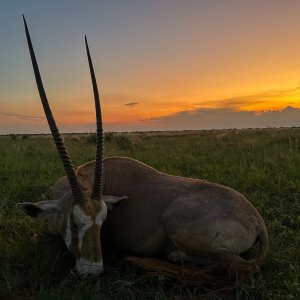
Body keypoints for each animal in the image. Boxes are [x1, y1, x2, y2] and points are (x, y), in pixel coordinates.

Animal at [17, 16, 268, 282]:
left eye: (103, 222)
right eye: (74, 223)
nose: (93, 269)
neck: (81, 179)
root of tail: (257, 221)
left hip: (176, 222)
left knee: (234, 263)